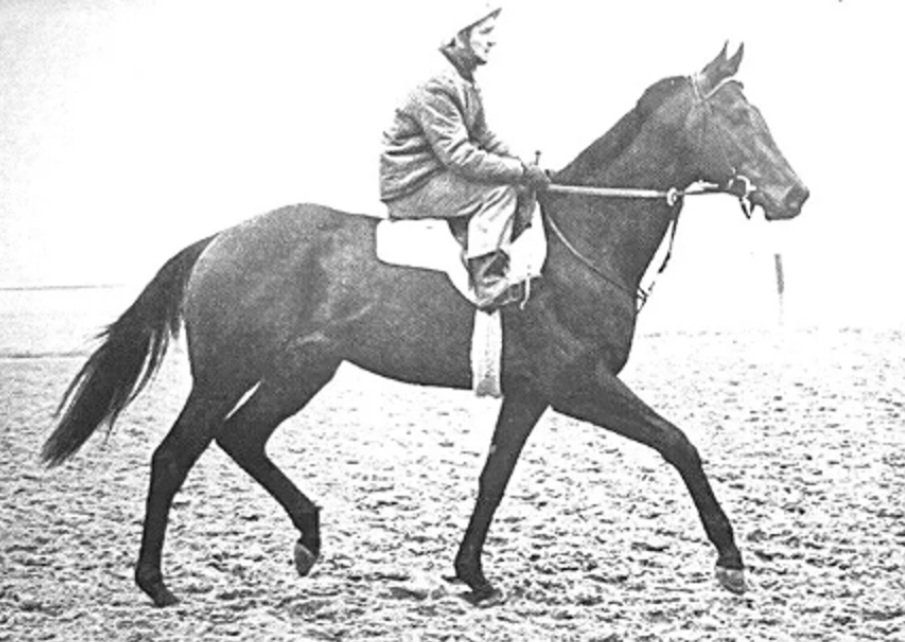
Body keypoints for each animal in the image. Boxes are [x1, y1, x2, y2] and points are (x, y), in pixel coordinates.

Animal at [42, 43, 808, 607]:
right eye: (736, 117)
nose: (795, 194)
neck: (577, 241)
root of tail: (220, 238)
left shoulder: (530, 394)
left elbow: (493, 477)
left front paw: (473, 574)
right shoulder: (579, 385)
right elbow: (678, 444)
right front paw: (731, 561)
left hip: (301, 371)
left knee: (242, 436)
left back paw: (308, 538)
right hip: (226, 373)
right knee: (176, 454)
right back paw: (156, 584)